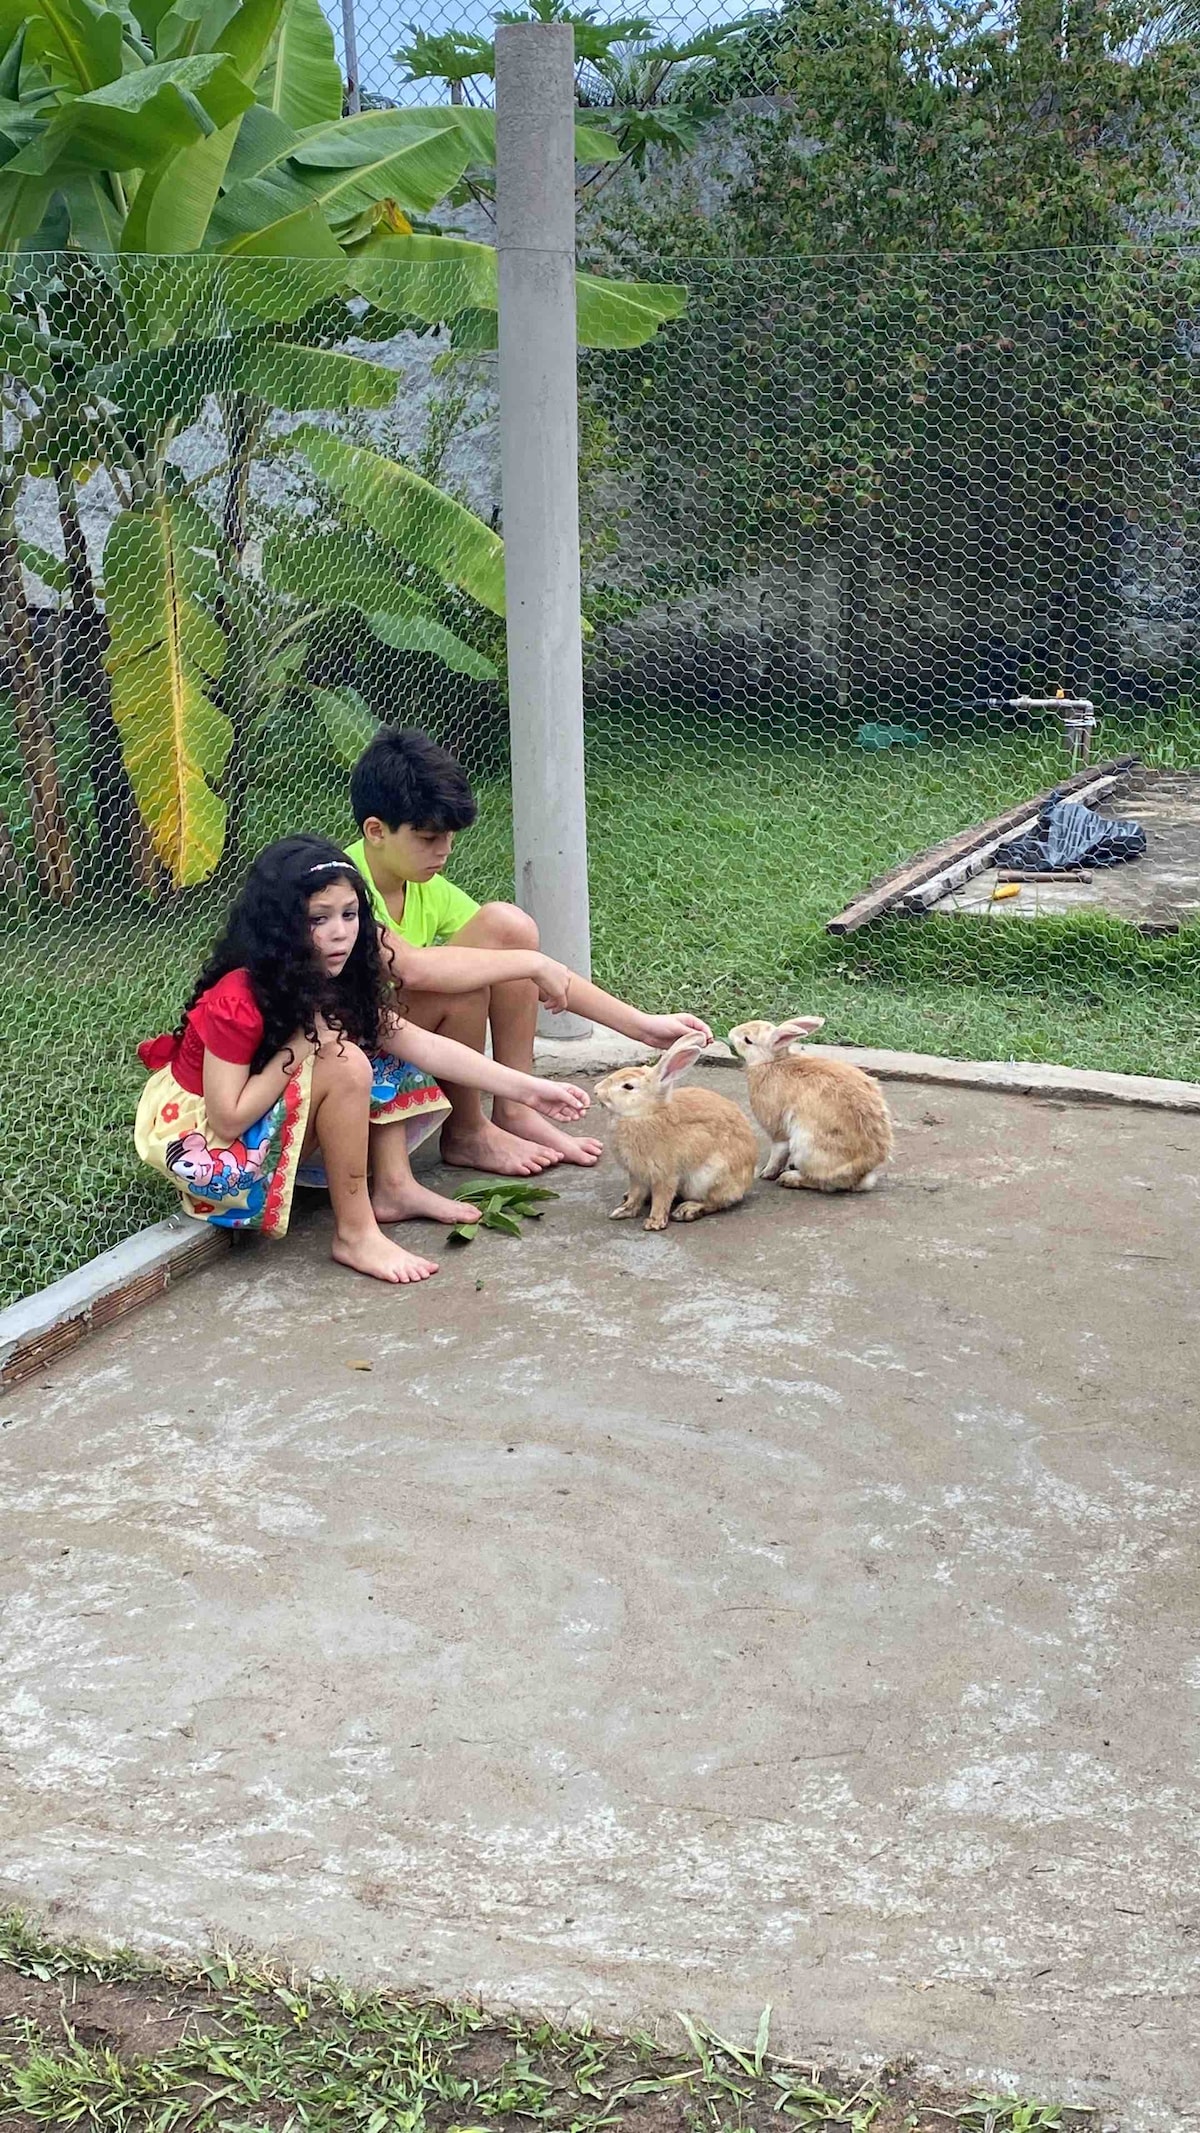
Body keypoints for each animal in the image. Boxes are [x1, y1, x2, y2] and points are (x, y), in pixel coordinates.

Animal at [596, 1036, 754, 1237]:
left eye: (628, 1086)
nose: (596, 1090)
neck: (644, 1114)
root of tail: (747, 1179)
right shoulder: (637, 1174)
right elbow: (635, 1194)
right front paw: (623, 1211)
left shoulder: (664, 1174)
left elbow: (662, 1198)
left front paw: (654, 1223)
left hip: (708, 1177)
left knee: (716, 1201)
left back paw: (687, 1210)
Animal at [724, 1019, 890, 1194]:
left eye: (747, 1040)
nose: (731, 1033)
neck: (770, 1061)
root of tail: (862, 1176)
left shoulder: (777, 1129)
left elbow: (778, 1151)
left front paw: (766, 1174)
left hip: (806, 1146)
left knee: (824, 1182)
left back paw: (789, 1178)